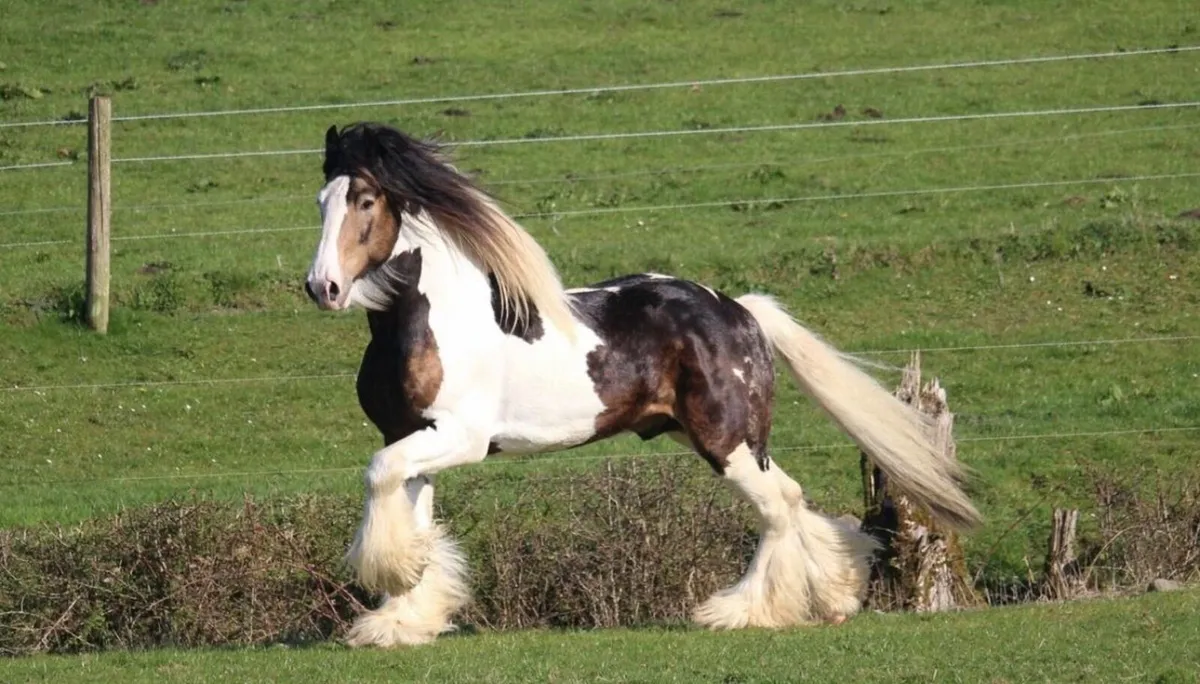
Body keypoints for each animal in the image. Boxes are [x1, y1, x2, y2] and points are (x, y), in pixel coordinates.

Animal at [304, 122, 980, 648]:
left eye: (366, 200)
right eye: (321, 201)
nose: (322, 287)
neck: (429, 320)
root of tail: (741, 310)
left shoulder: (458, 437)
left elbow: (378, 479)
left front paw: (392, 594)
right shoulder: (412, 436)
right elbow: (408, 513)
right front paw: (400, 621)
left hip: (726, 441)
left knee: (776, 507)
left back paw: (739, 612)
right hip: (711, 436)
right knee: (792, 500)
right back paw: (836, 595)